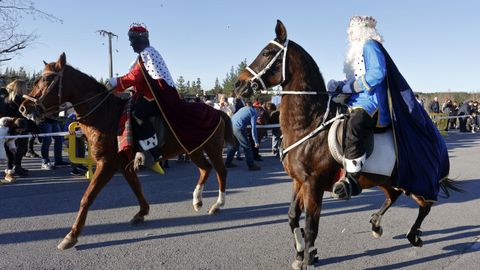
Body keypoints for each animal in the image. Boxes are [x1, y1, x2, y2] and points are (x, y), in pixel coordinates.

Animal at [20, 52, 234, 251]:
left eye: (47, 79)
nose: (24, 107)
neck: (106, 115)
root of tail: (218, 111)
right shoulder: (124, 165)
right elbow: (136, 188)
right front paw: (142, 213)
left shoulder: (107, 164)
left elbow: (87, 198)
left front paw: (71, 235)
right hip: (193, 149)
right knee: (205, 169)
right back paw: (197, 200)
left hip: (212, 149)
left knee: (221, 172)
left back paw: (217, 204)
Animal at [234, 20, 460, 268]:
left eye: (267, 52)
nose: (238, 85)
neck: (308, 124)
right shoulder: (298, 182)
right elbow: (293, 217)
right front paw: (302, 254)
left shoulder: (313, 184)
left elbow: (311, 227)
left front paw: (308, 259)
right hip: (384, 179)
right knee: (393, 195)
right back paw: (376, 224)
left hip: (414, 181)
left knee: (425, 204)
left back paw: (413, 236)